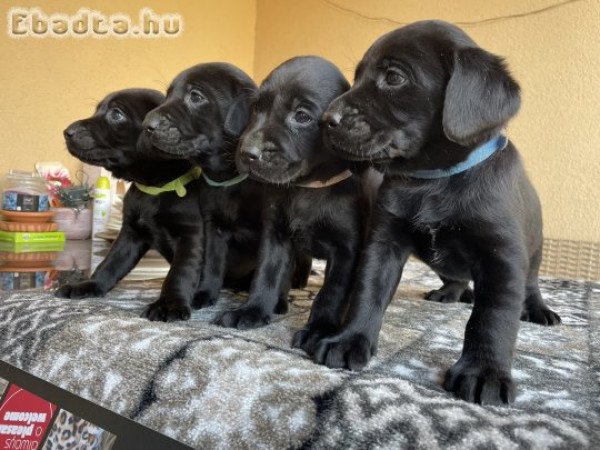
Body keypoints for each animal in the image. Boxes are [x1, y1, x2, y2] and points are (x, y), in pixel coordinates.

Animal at [142, 63, 310, 318]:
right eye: (168, 95)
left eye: (196, 97)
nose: (146, 125)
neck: (229, 178)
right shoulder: (213, 226)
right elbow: (212, 263)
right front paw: (204, 294)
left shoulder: (274, 227)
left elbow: (276, 269)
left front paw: (276, 302)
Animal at [213, 57, 368, 352]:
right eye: (256, 108)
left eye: (302, 116)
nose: (247, 154)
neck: (307, 187)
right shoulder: (276, 236)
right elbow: (267, 275)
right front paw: (252, 310)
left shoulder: (346, 250)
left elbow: (331, 293)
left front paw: (318, 329)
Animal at [316, 21, 560, 406]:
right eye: (356, 78)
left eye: (393, 77)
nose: (326, 119)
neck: (434, 180)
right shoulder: (383, 243)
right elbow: (367, 292)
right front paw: (349, 340)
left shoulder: (502, 257)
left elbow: (492, 317)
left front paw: (484, 371)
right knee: (457, 279)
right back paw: (451, 293)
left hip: (532, 254)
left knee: (530, 285)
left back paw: (536, 309)